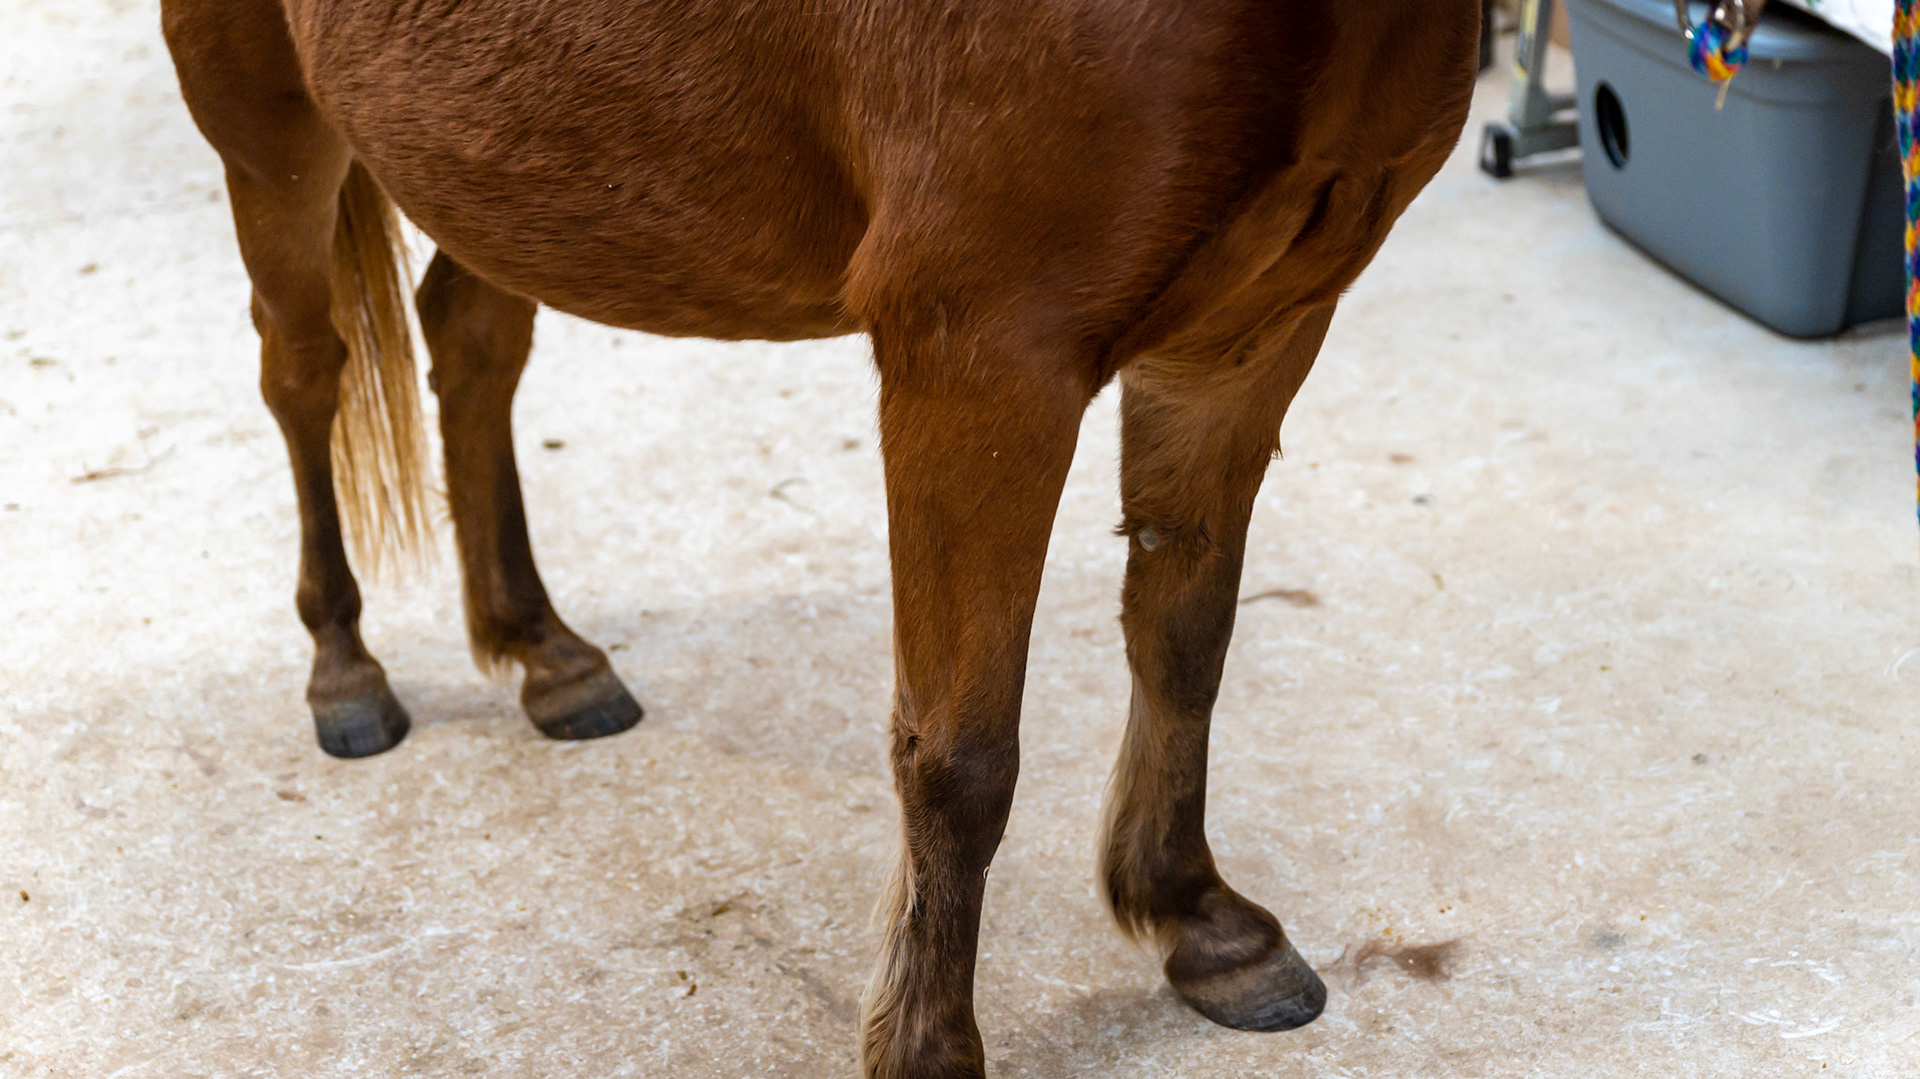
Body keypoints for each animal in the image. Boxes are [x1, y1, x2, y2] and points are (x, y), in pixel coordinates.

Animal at [160, 1, 1480, 1074]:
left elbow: (1185, 648)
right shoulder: (982, 358)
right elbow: (959, 752)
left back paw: (546, 652)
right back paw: (346, 671)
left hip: (497, 159)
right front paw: (928, 1046)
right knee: (303, 372)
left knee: (472, 338)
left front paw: (1196, 917)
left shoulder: (1250, 335)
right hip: (271, 132)